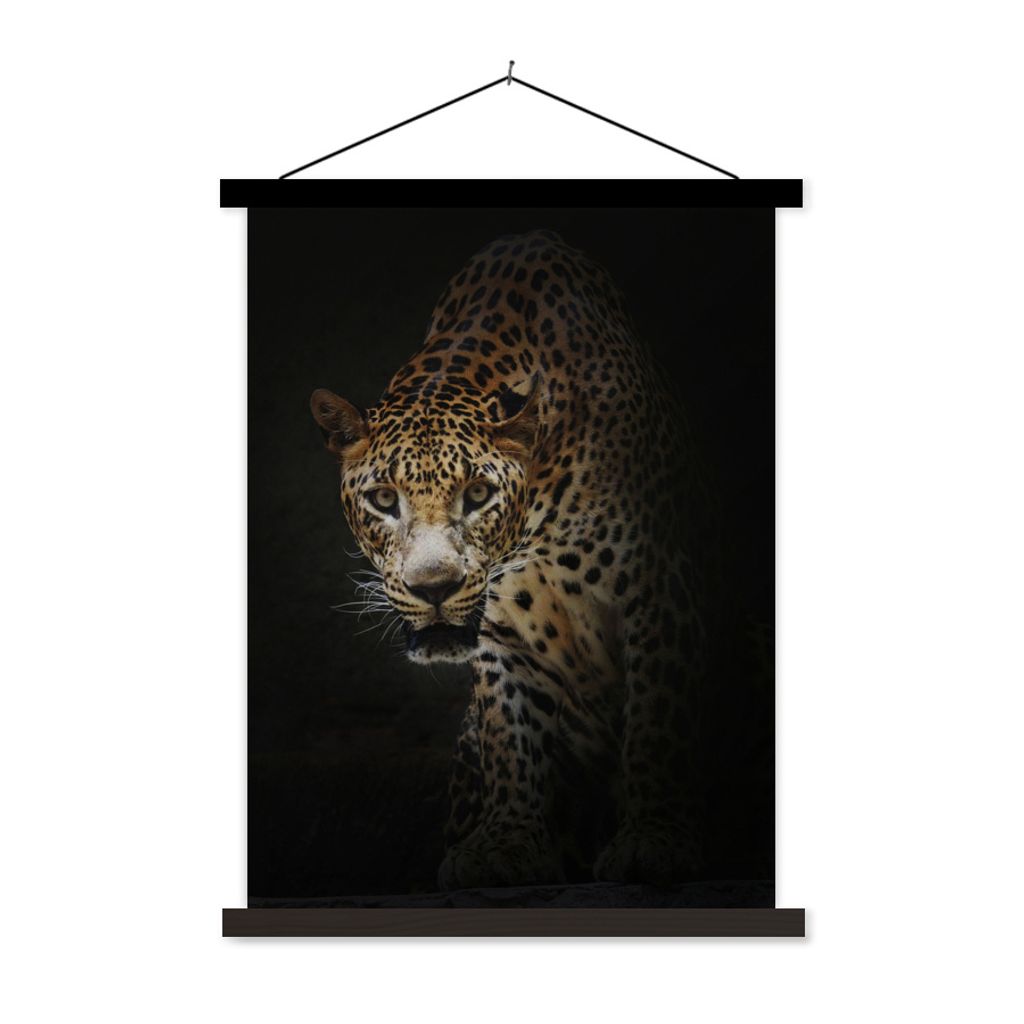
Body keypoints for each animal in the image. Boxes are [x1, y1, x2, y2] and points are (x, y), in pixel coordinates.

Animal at [310, 229, 714, 890]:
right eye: (384, 499)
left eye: (477, 495)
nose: (434, 588)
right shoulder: (502, 627)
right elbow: (511, 732)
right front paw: (505, 843)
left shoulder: (661, 584)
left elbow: (659, 715)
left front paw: (654, 839)